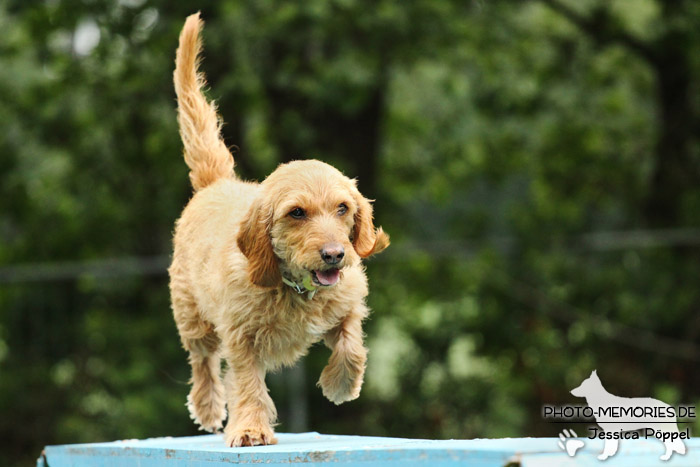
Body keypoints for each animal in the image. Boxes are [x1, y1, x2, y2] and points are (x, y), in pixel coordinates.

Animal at [167, 12, 392, 448]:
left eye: (343, 208)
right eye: (297, 213)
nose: (335, 255)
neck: (296, 290)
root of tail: (216, 183)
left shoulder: (348, 304)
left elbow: (351, 344)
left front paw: (341, 385)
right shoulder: (241, 336)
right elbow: (247, 382)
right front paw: (251, 428)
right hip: (192, 316)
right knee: (203, 361)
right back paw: (208, 408)